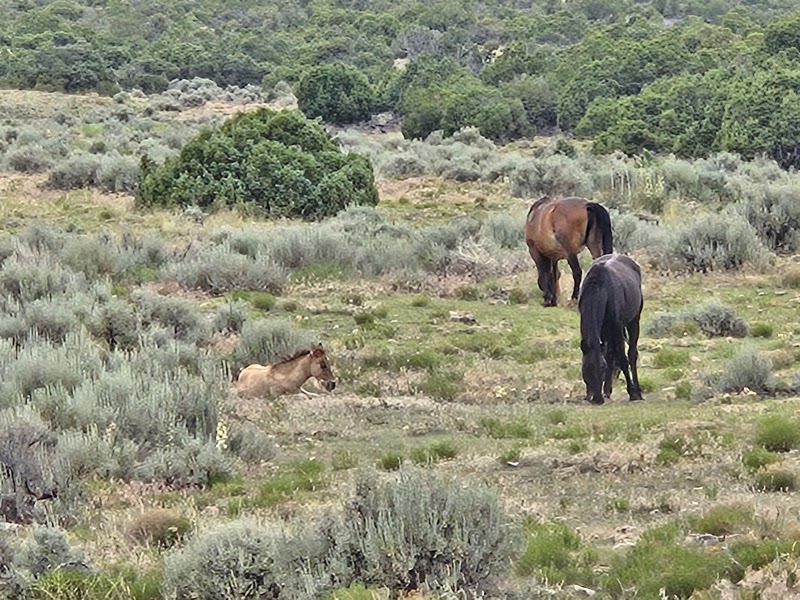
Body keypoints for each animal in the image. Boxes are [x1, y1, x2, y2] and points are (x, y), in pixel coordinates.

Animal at [578, 253, 643, 405]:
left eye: (602, 367)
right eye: (586, 368)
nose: (597, 399)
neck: (601, 288)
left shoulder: (617, 328)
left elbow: (623, 359)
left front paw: (632, 393)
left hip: (633, 321)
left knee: (631, 354)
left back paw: (637, 391)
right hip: (606, 331)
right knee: (610, 353)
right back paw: (607, 390)